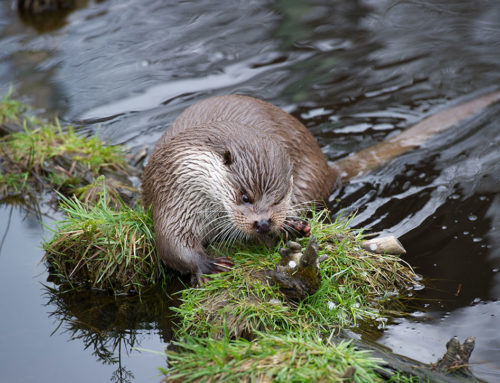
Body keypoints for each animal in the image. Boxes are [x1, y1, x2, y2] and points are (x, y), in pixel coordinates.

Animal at [142, 91, 500, 280]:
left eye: (279, 198)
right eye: (245, 196)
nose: (263, 223)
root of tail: (328, 167)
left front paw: (290, 226)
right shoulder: (175, 191)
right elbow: (171, 243)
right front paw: (209, 263)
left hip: (310, 176)